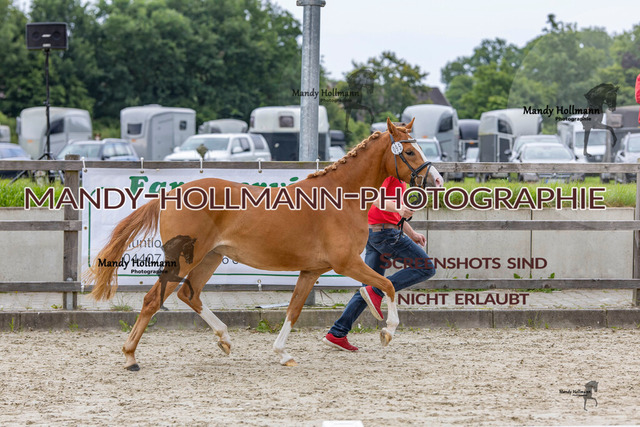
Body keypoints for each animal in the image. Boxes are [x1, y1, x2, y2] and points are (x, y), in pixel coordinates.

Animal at [84, 118, 443, 370]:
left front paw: (283, 354)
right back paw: (130, 357)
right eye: (409, 151)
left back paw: (225, 339)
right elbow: (388, 285)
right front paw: (387, 332)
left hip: (210, 258)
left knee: (189, 294)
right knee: (152, 300)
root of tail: (169, 194)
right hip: (186, 259)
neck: (339, 199)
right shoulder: (346, 263)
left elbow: (294, 309)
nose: (437, 180)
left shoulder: (311, 270)